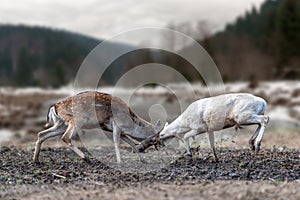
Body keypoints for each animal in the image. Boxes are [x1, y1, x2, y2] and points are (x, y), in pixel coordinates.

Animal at [32, 91, 163, 163]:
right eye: (156, 136)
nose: (161, 144)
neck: (130, 124)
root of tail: (54, 106)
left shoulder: (117, 130)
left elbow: (131, 143)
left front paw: (143, 160)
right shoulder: (117, 125)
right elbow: (117, 142)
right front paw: (119, 161)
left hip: (61, 124)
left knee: (41, 134)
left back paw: (36, 160)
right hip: (77, 120)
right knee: (66, 137)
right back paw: (85, 158)